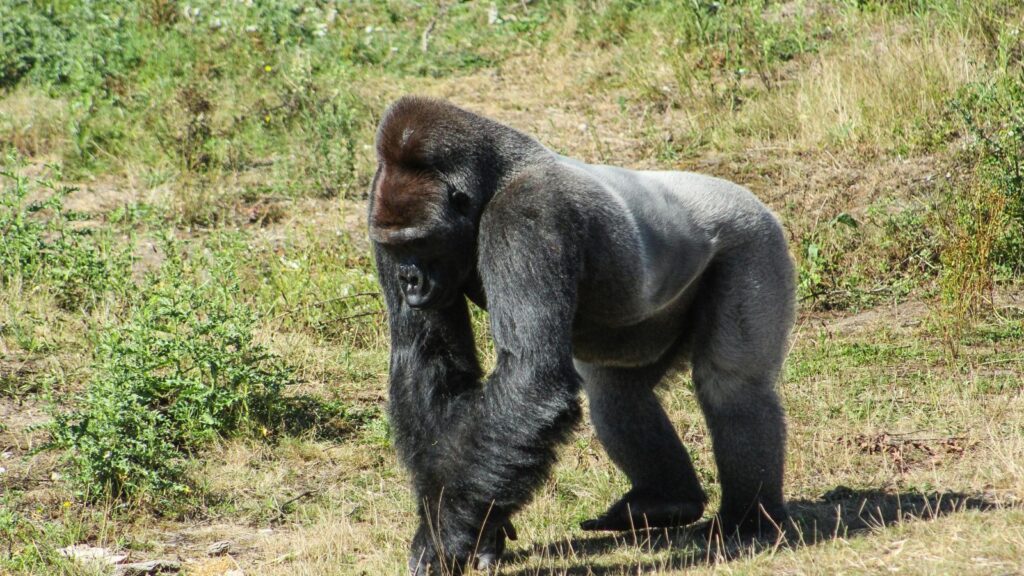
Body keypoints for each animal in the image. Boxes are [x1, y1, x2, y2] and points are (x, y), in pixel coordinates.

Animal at [367, 96, 795, 574]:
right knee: (616, 392)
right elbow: (428, 362)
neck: (492, 181)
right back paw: (666, 501)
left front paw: (442, 537)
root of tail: (747, 195)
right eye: (397, 248)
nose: (408, 280)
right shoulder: (378, 211)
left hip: (753, 239)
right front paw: (472, 526)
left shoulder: (528, 215)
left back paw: (749, 522)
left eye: (419, 243)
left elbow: (531, 377)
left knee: (732, 385)